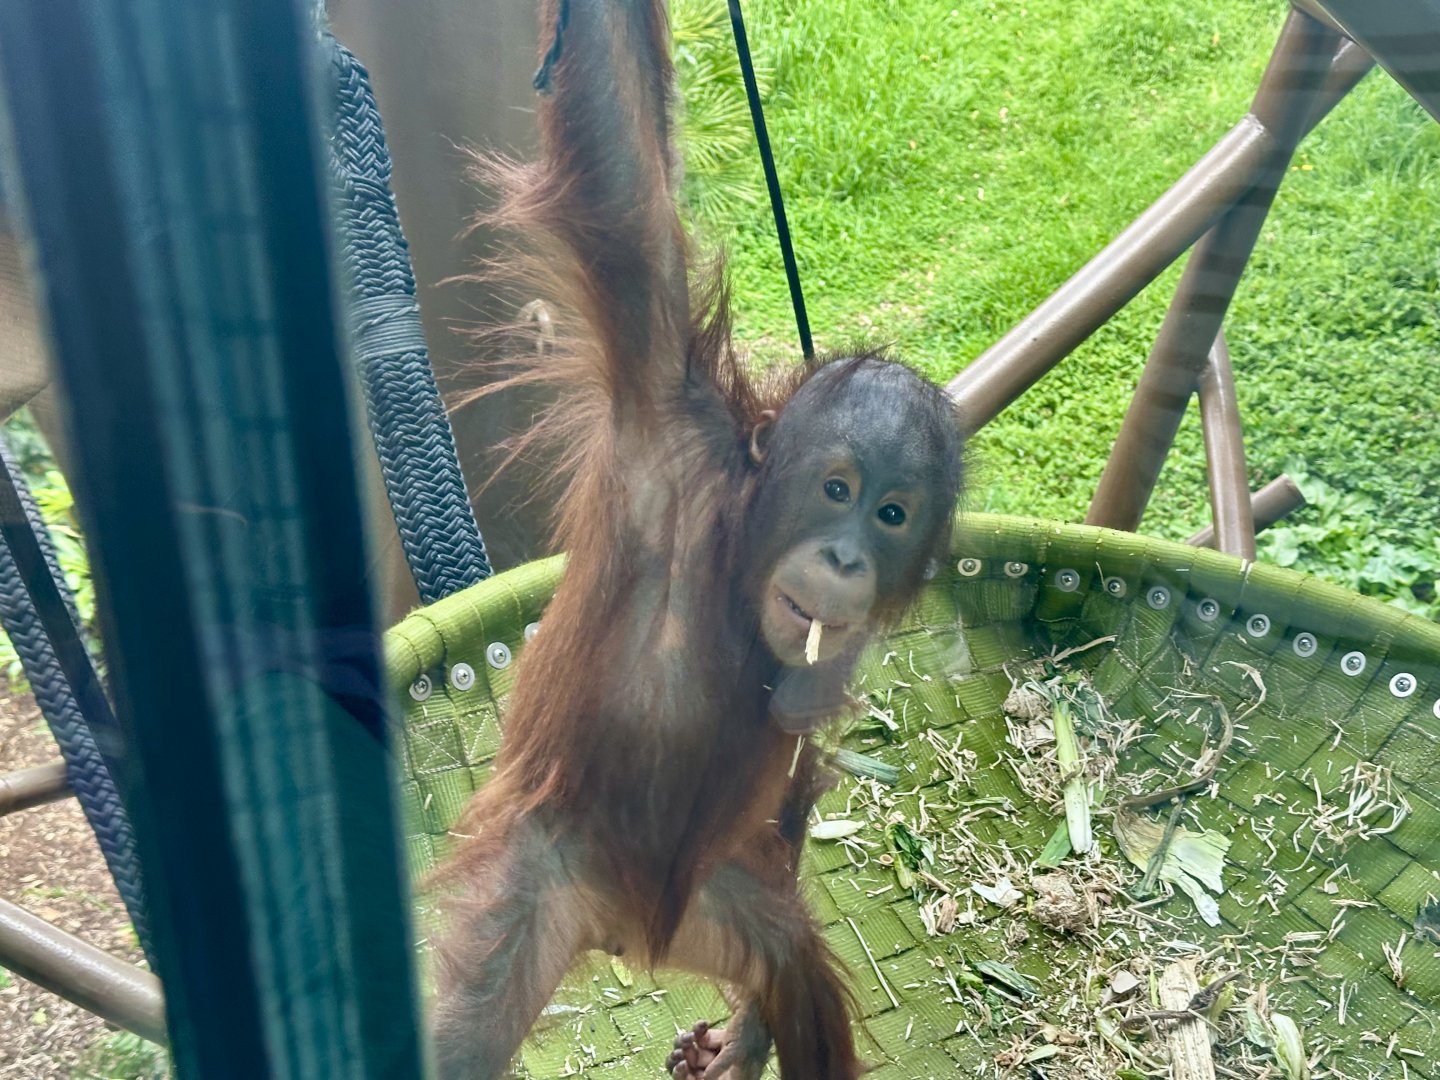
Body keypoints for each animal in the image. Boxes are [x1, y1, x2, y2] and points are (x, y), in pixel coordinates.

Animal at [428, 0, 963, 1077]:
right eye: (837, 488)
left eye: (891, 514)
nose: (845, 557)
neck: (735, 559)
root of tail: (622, 929)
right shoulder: (666, 422)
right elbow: (621, 174)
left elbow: (797, 774)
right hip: (540, 882)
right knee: (464, 1032)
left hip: (715, 905)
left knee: (795, 968)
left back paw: (749, 1042)